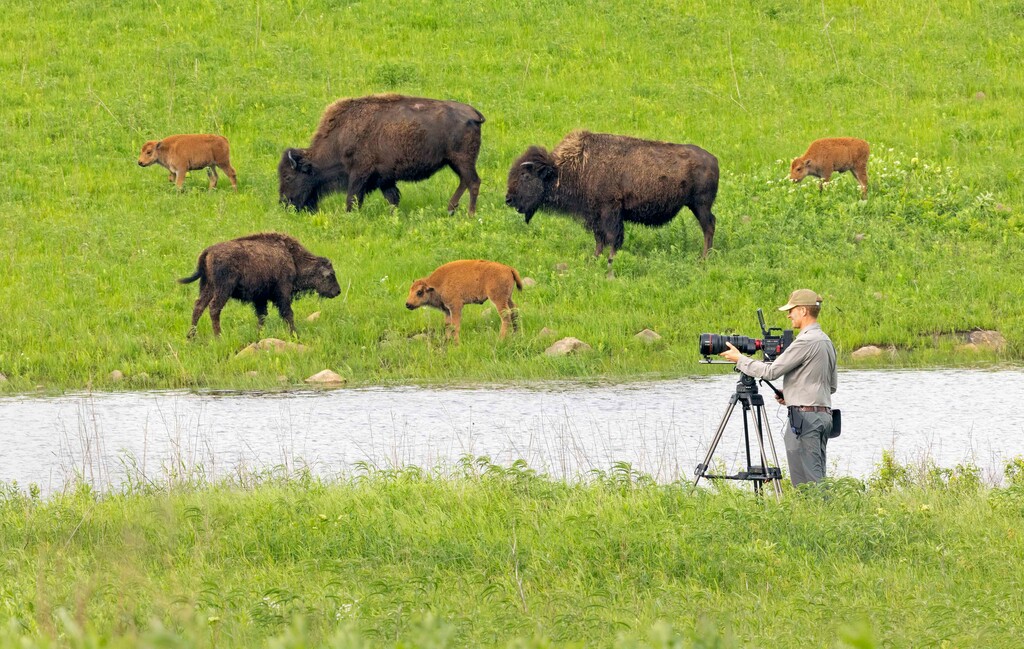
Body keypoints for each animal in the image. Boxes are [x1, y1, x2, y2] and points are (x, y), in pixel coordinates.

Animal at [179, 232, 340, 338]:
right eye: (330, 275)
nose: (338, 291)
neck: (293, 258)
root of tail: (208, 251)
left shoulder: (260, 298)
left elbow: (262, 315)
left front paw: (259, 334)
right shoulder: (283, 292)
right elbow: (288, 313)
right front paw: (294, 333)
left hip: (208, 287)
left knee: (199, 306)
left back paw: (191, 336)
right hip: (223, 289)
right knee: (214, 308)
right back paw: (218, 336)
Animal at [278, 94, 485, 215]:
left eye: (288, 177)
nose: (284, 204)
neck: (340, 137)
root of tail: (473, 114)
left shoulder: (359, 173)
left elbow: (352, 198)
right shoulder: (385, 178)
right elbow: (392, 198)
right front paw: (394, 217)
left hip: (462, 160)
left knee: (473, 182)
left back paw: (470, 214)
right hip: (454, 162)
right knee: (465, 181)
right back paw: (451, 210)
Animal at [506, 130, 719, 274]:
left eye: (525, 175)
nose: (508, 199)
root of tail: (713, 159)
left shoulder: (610, 211)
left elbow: (613, 237)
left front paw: (610, 261)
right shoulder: (595, 215)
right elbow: (599, 238)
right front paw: (594, 259)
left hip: (700, 205)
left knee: (708, 226)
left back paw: (703, 259)